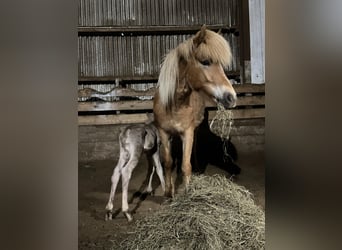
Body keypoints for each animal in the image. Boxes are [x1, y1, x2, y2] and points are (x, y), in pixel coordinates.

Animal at [153, 25, 236, 197]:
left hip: (194, 131)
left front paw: (187, 193)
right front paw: (168, 193)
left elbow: (186, 166)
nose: (232, 97)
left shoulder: (188, 132)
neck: (175, 104)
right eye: (205, 61)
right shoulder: (164, 132)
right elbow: (168, 163)